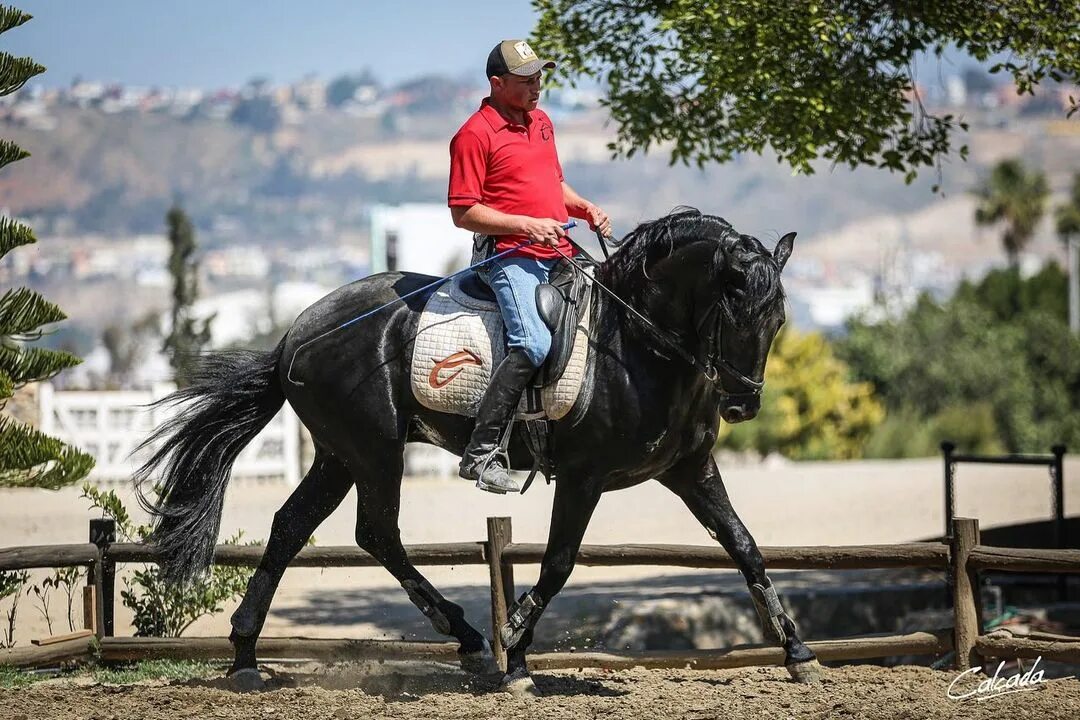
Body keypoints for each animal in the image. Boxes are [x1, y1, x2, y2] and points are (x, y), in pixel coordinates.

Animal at [141, 207, 816, 690]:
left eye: (777, 318)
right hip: (374, 450)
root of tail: (295, 334)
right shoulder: (584, 476)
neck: (635, 345)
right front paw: (514, 649)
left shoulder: (689, 469)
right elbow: (558, 563)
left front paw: (798, 651)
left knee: (292, 527)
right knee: (375, 532)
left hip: (339, 455)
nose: (742, 406)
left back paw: (247, 655)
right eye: (733, 311)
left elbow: (745, 546)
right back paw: (467, 637)